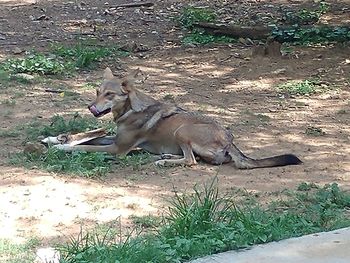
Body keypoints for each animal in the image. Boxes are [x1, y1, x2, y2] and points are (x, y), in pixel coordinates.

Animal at [53, 68, 302, 169]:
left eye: (109, 95)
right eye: (97, 91)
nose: (90, 107)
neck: (130, 110)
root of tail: (230, 139)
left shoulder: (117, 149)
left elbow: (86, 147)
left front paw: (61, 148)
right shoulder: (115, 140)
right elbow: (87, 139)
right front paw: (60, 139)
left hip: (181, 131)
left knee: (191, 161)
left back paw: (164, 161)